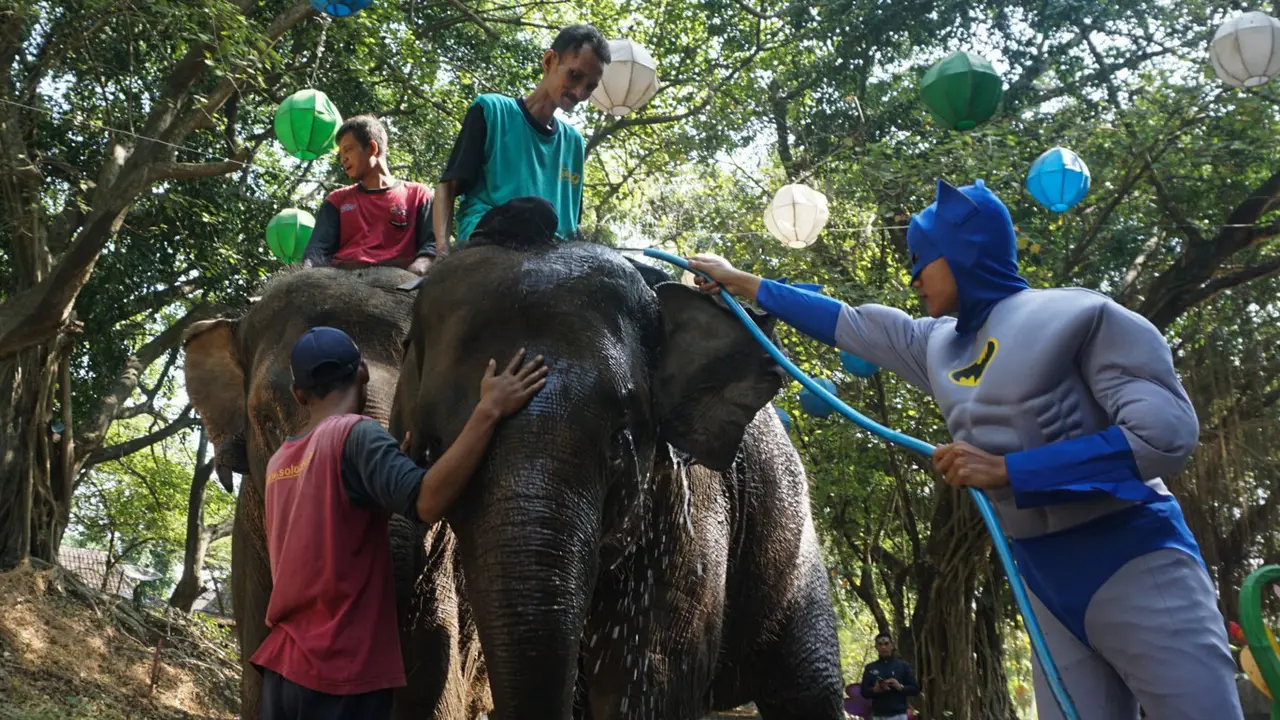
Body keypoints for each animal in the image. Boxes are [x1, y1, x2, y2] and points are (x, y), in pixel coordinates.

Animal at [390, 231, 846, 720]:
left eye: (620, 437)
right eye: (435, 446)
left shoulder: (689, 505)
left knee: (806, 686)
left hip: (796, 552)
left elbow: (647, 678)